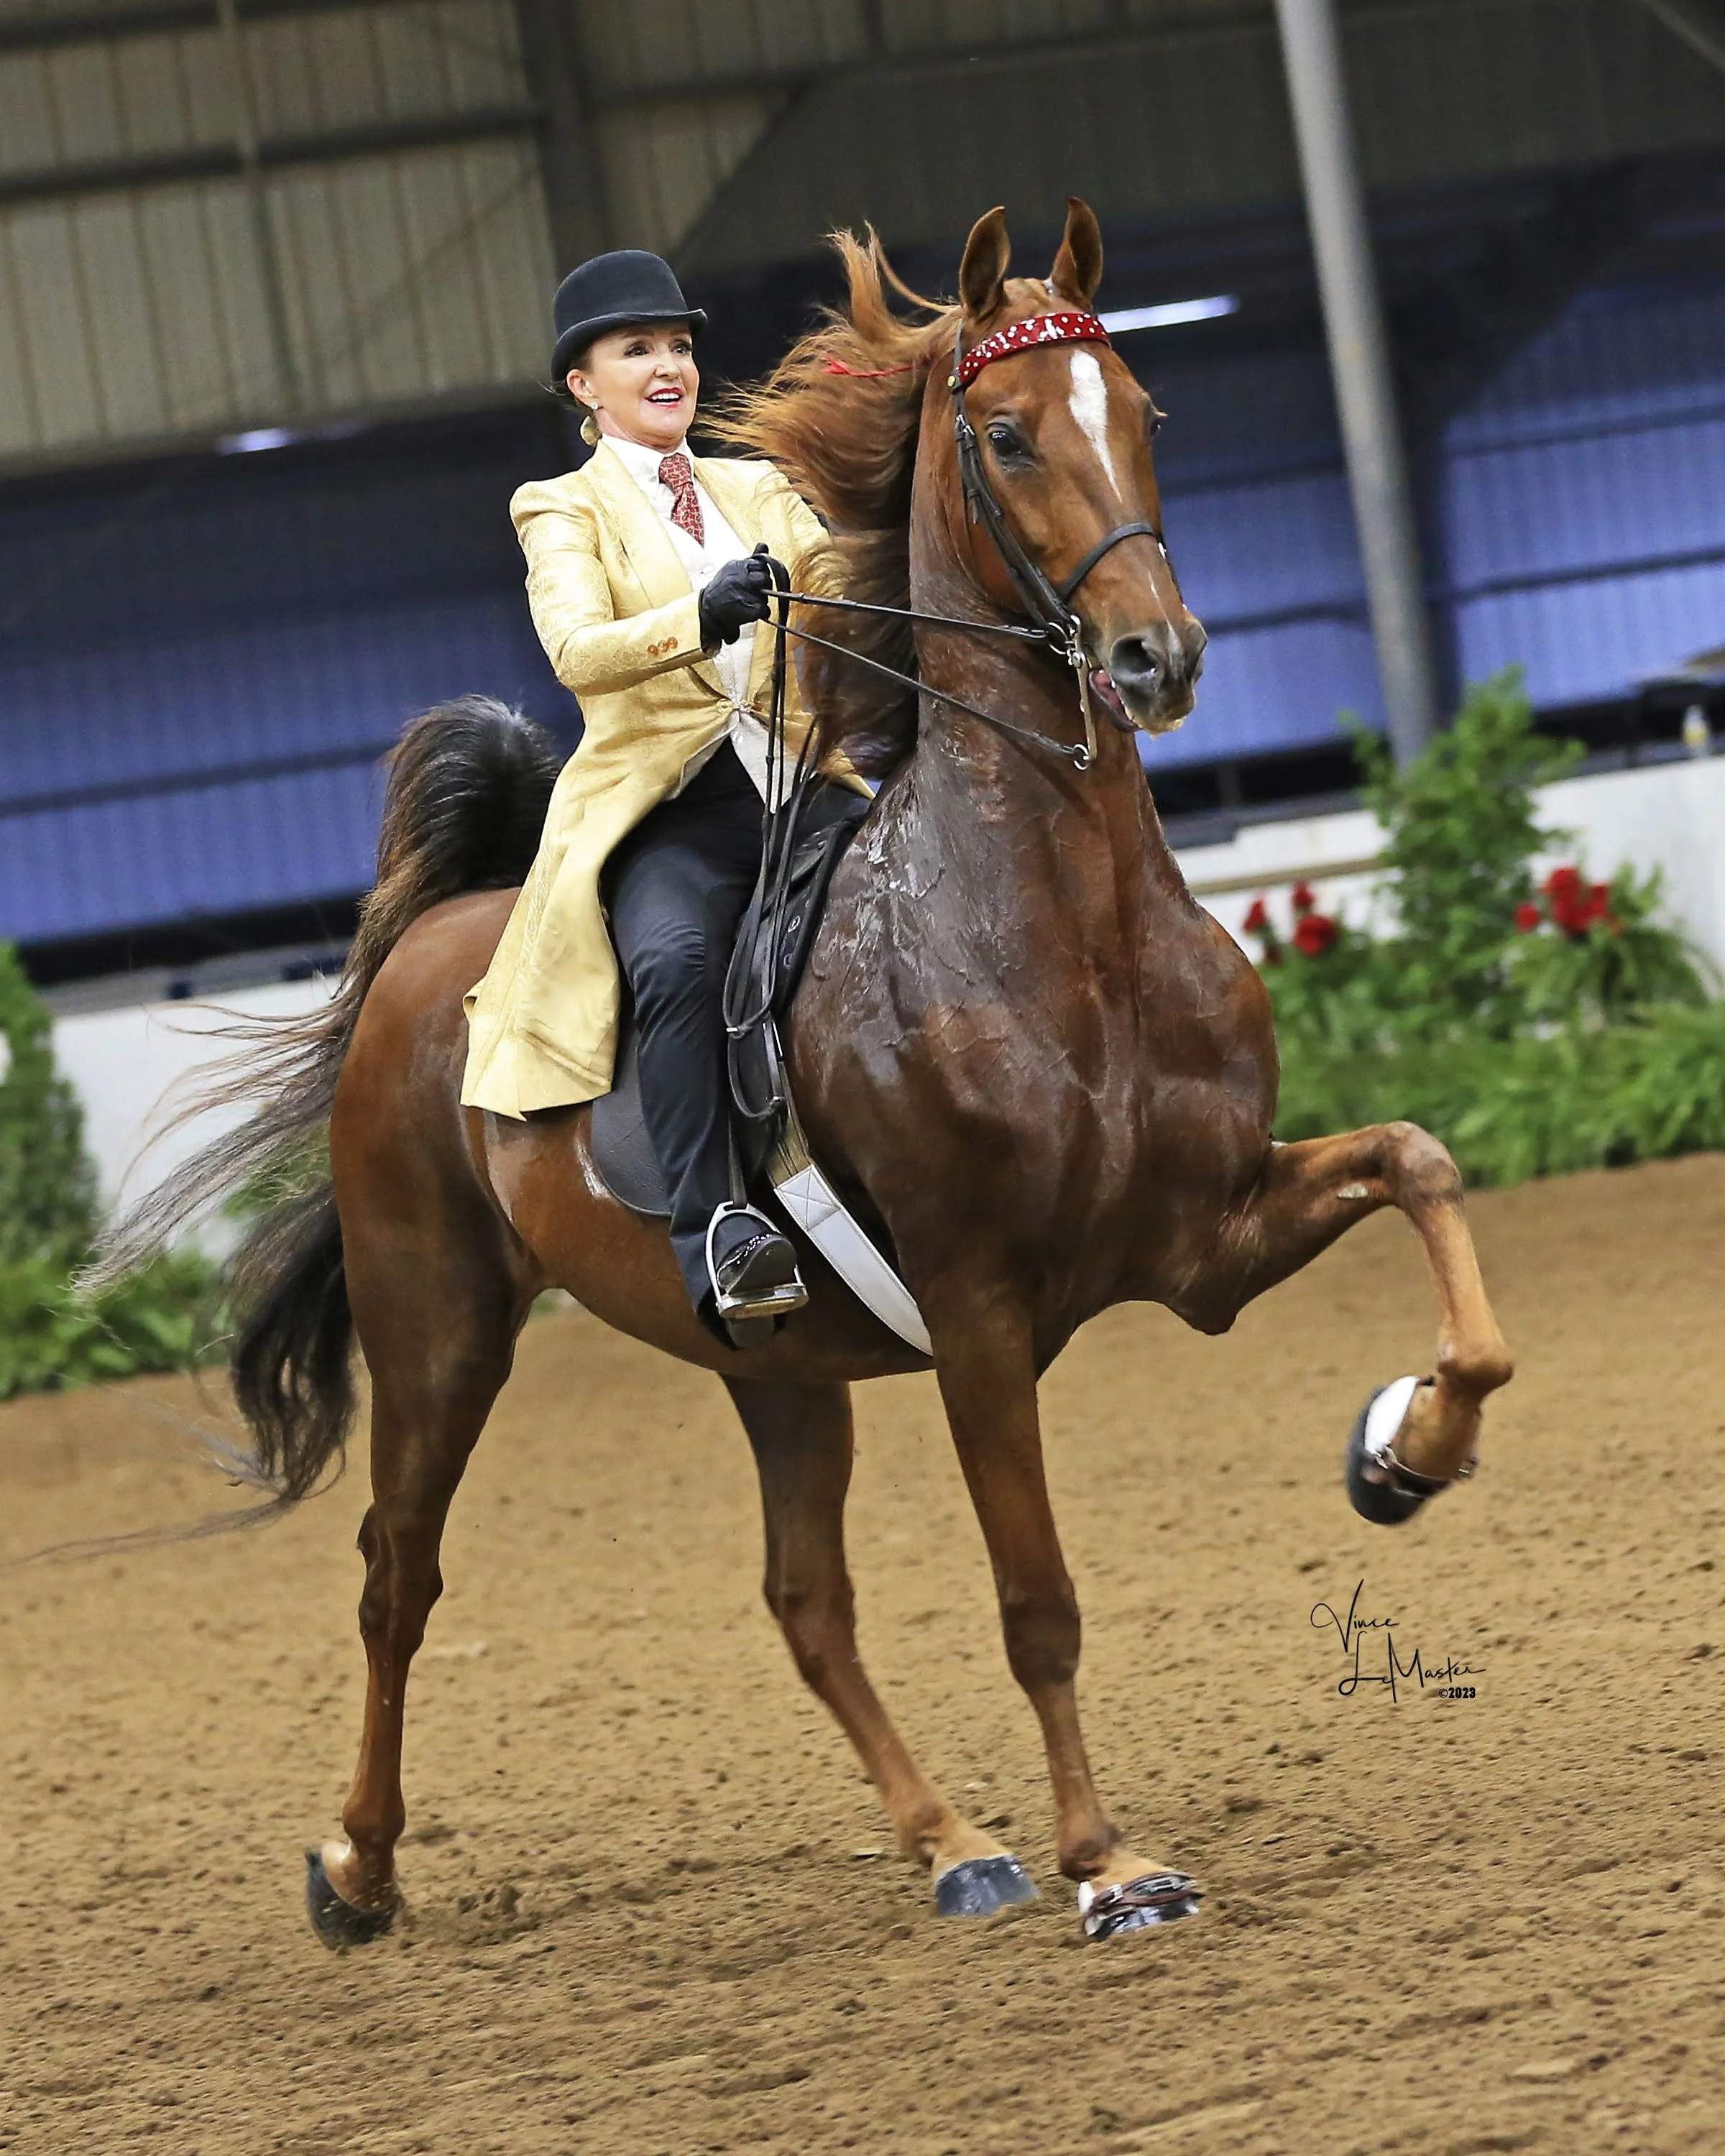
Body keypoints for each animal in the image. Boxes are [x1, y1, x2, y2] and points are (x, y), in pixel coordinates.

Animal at [108, 199, 1512, 1947]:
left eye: (1143, 412)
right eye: (1003, 432)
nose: (1156, 658)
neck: (1069, 925)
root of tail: (434, 951)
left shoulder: (1205, 1241)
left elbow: (1419, 1165)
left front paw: (1405, 1452)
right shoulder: (981, 1313)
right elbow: (1037, 1599)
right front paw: (1113, 1867)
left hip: (775, 1369)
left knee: (802, 1602)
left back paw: (955, 1844)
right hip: (440, 1333)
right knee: (395, 1577)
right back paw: (356, 1873)